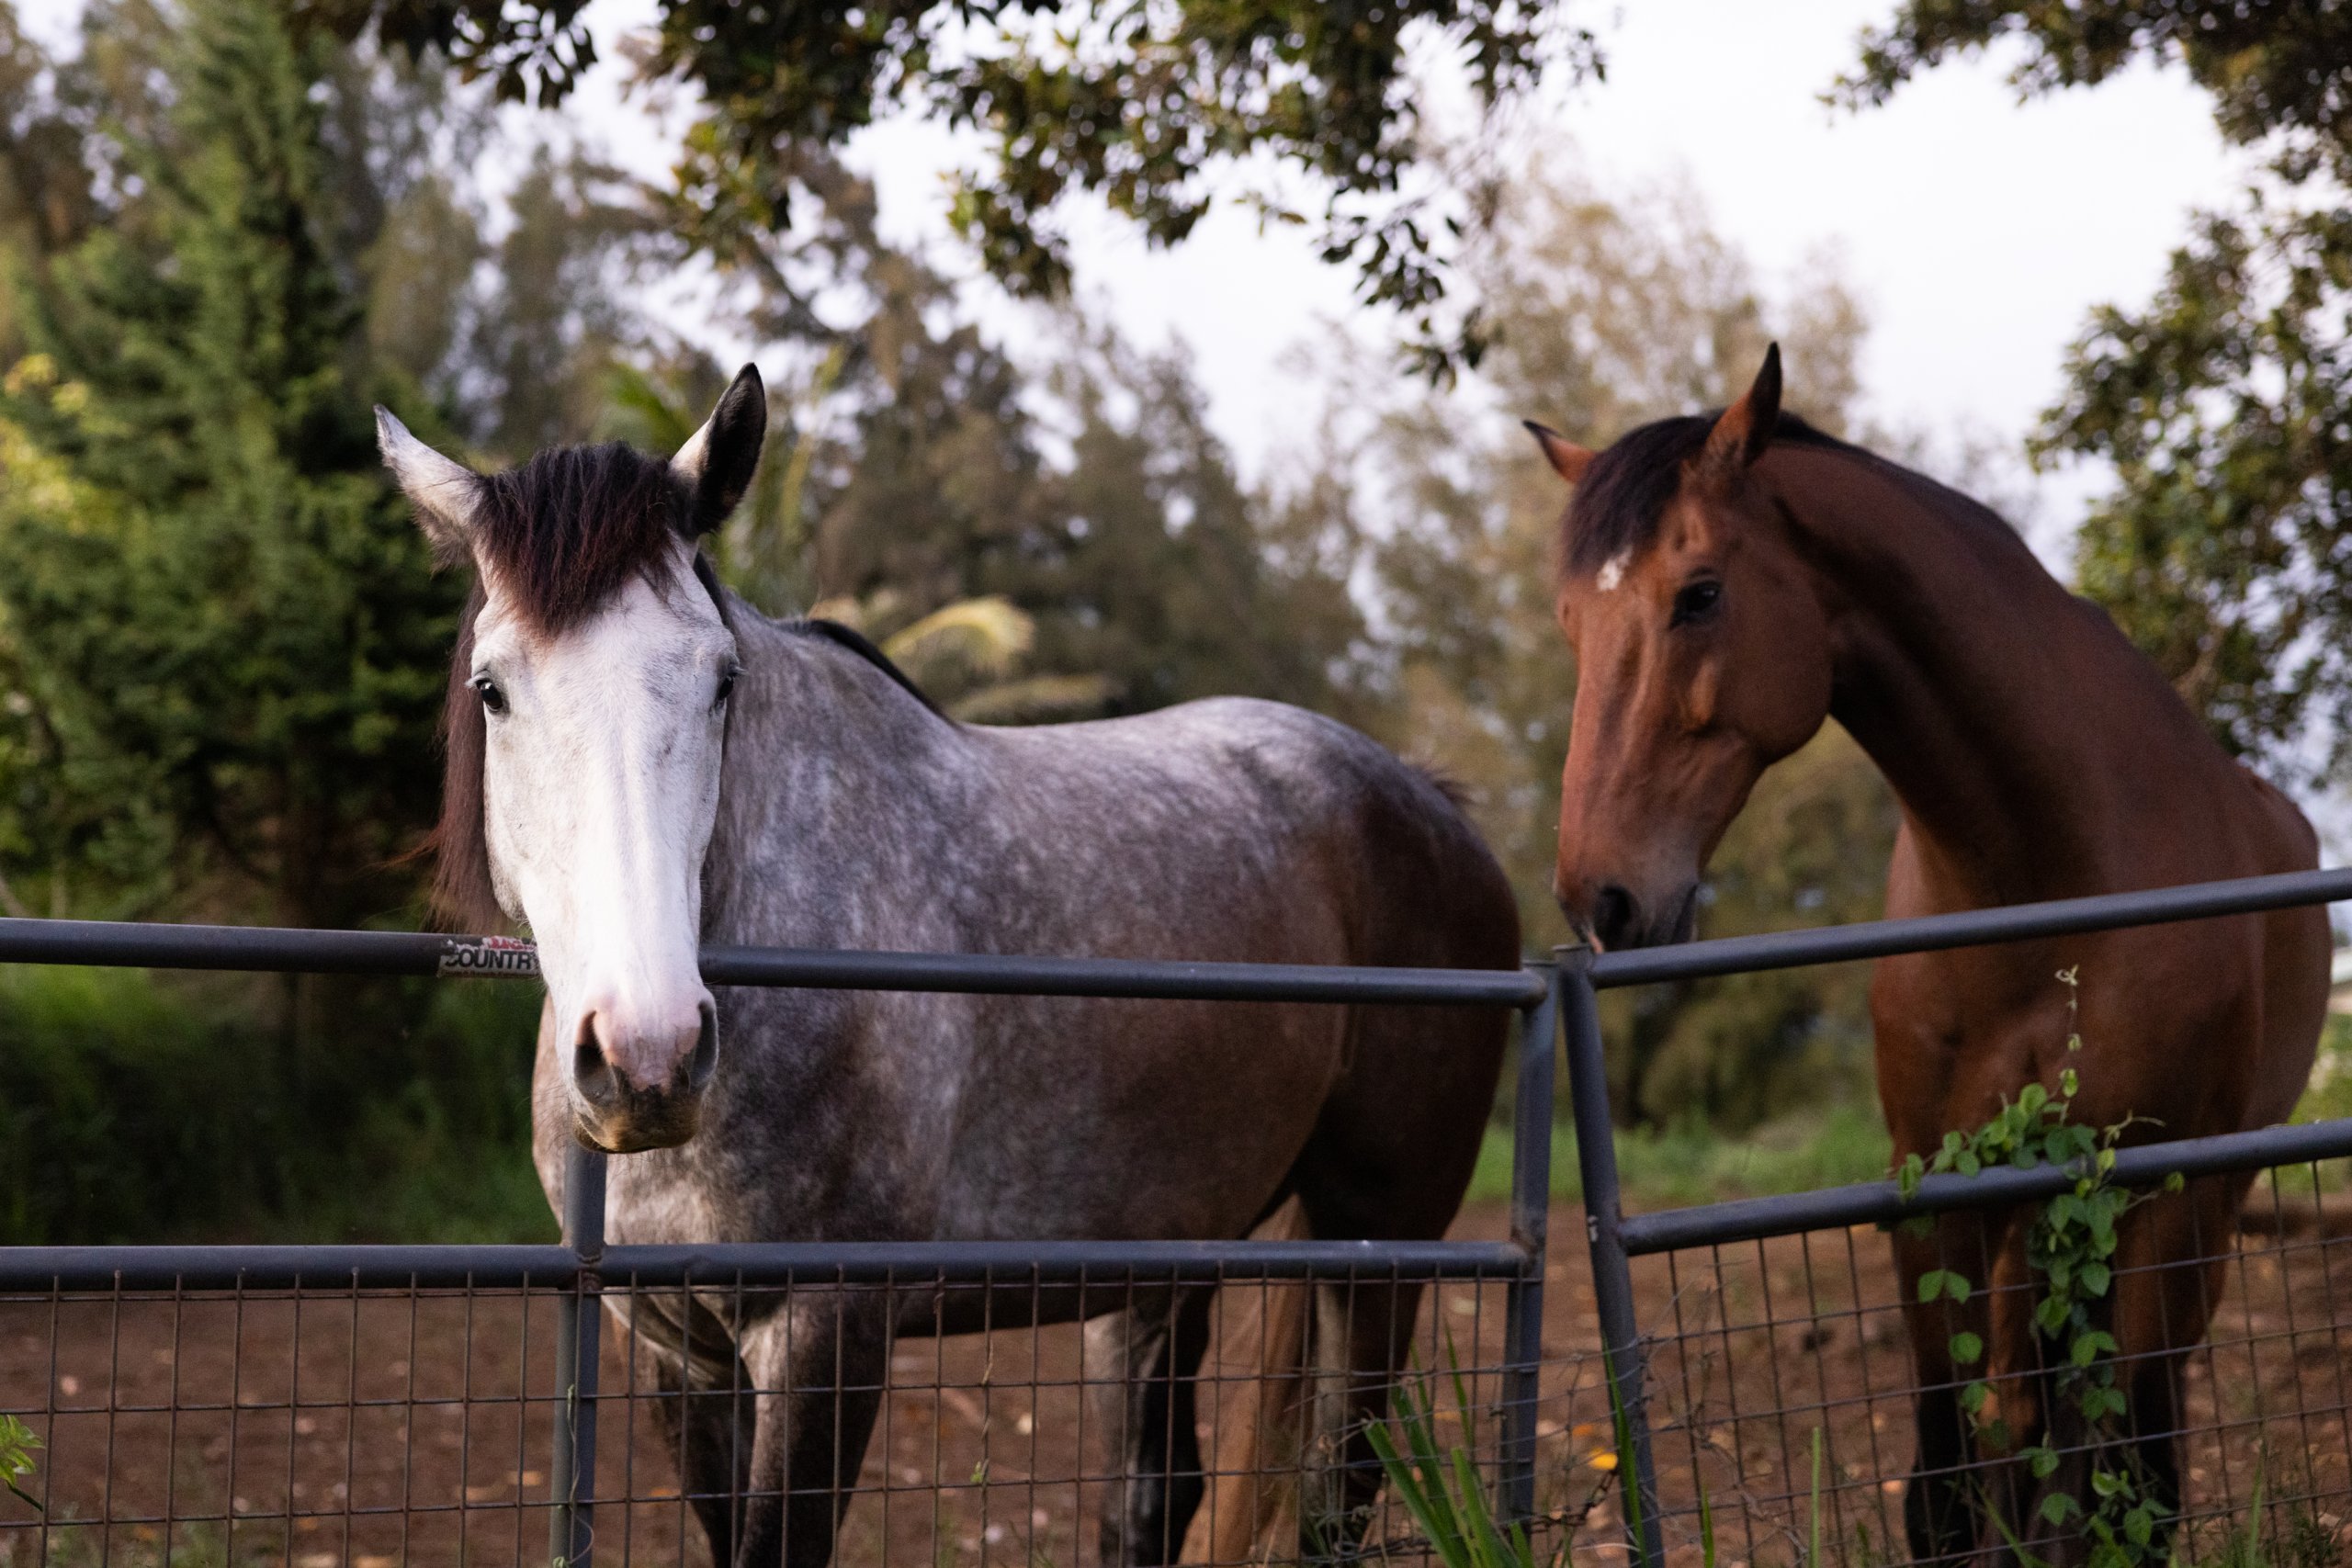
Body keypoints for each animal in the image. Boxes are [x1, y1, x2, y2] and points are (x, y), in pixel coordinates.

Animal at [375, 369, 1521, 1568]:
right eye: (493, 689)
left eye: (721, 680)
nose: (649, 1056)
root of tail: (1432, 802)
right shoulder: (673, 1345)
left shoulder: (825, 1331)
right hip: (1162, 1265)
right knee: (1153, 1493)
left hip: (1378, 1245)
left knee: (1335, 1485)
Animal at [1524, 348, 2328, 1563]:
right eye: (1570, 621)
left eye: (1698, 594)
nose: (1600, 897)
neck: (2048, 876)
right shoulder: (1937, 1191)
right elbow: (1953, 1486)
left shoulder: (2153, 1196)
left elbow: (2104, 1485)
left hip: (2199, 1217)